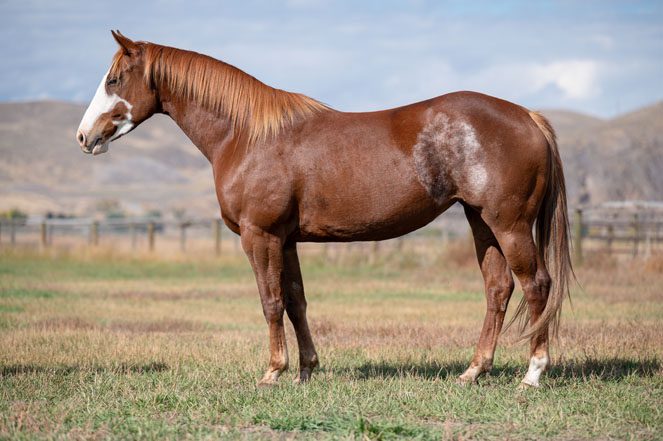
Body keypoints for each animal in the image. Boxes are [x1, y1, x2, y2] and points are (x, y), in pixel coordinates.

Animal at [76, 31, 573, 388]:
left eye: (113, 80)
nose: (85, 137)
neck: (247, 136)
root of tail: (528, 117)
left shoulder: (261, 236)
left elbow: (271, 302)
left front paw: (273, 372)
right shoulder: (286, 239)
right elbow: (296, 301)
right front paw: (306, 370)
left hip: (509, 225)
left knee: (536, 286)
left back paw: (532, 374)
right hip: (481, 222)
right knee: (497, 289)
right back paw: (474, 370)